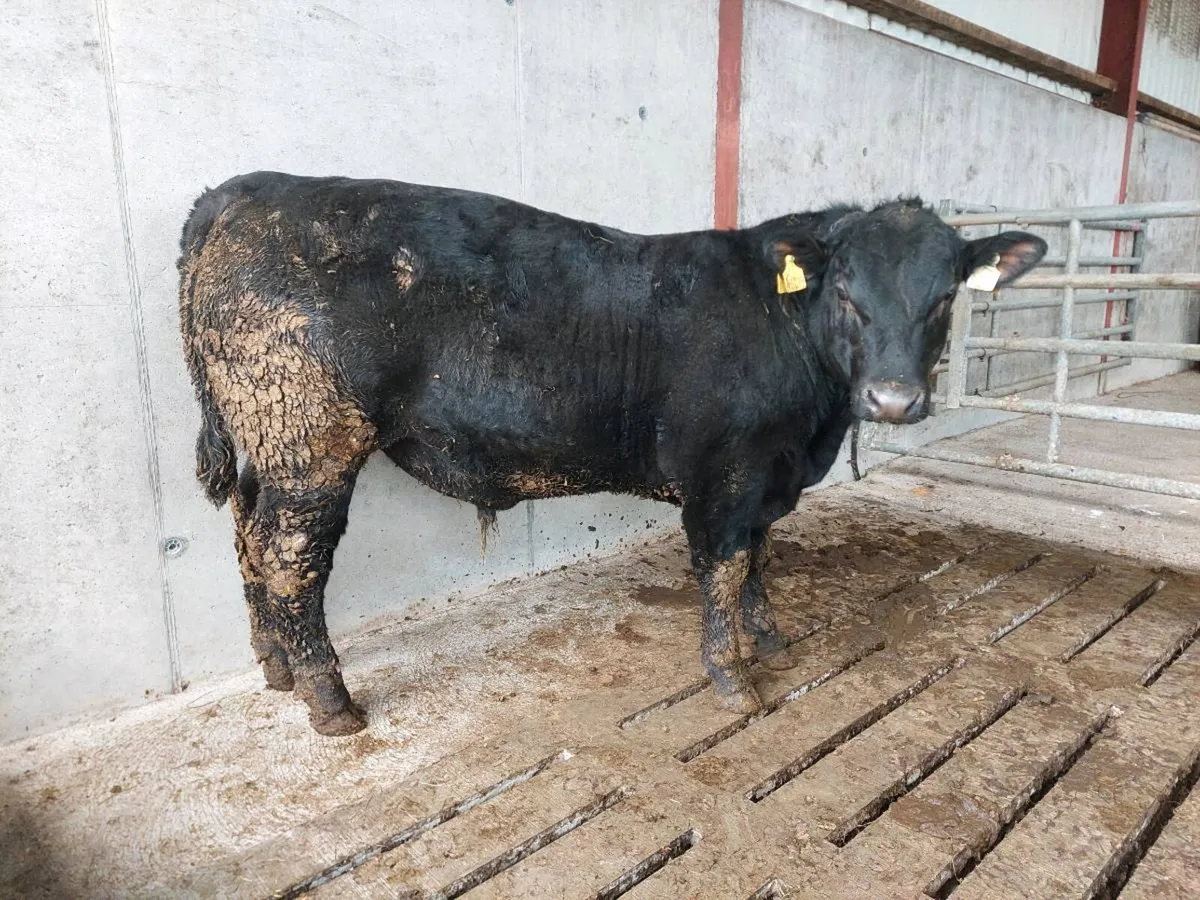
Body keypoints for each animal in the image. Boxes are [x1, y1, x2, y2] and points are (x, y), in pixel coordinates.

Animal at [178, 172, 1046, 735]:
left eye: (945, 296)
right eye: (845, 294)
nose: (894, 400)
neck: (811, 431)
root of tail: (253, 189)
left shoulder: (767, 477)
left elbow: (761, 558)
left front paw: (770, 639)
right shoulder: (725, 474)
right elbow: (726, 566)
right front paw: (734, 677)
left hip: (266, 438)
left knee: (247, 537)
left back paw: (275, 667)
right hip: (310, 440)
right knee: (291, 556)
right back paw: (329, 700)